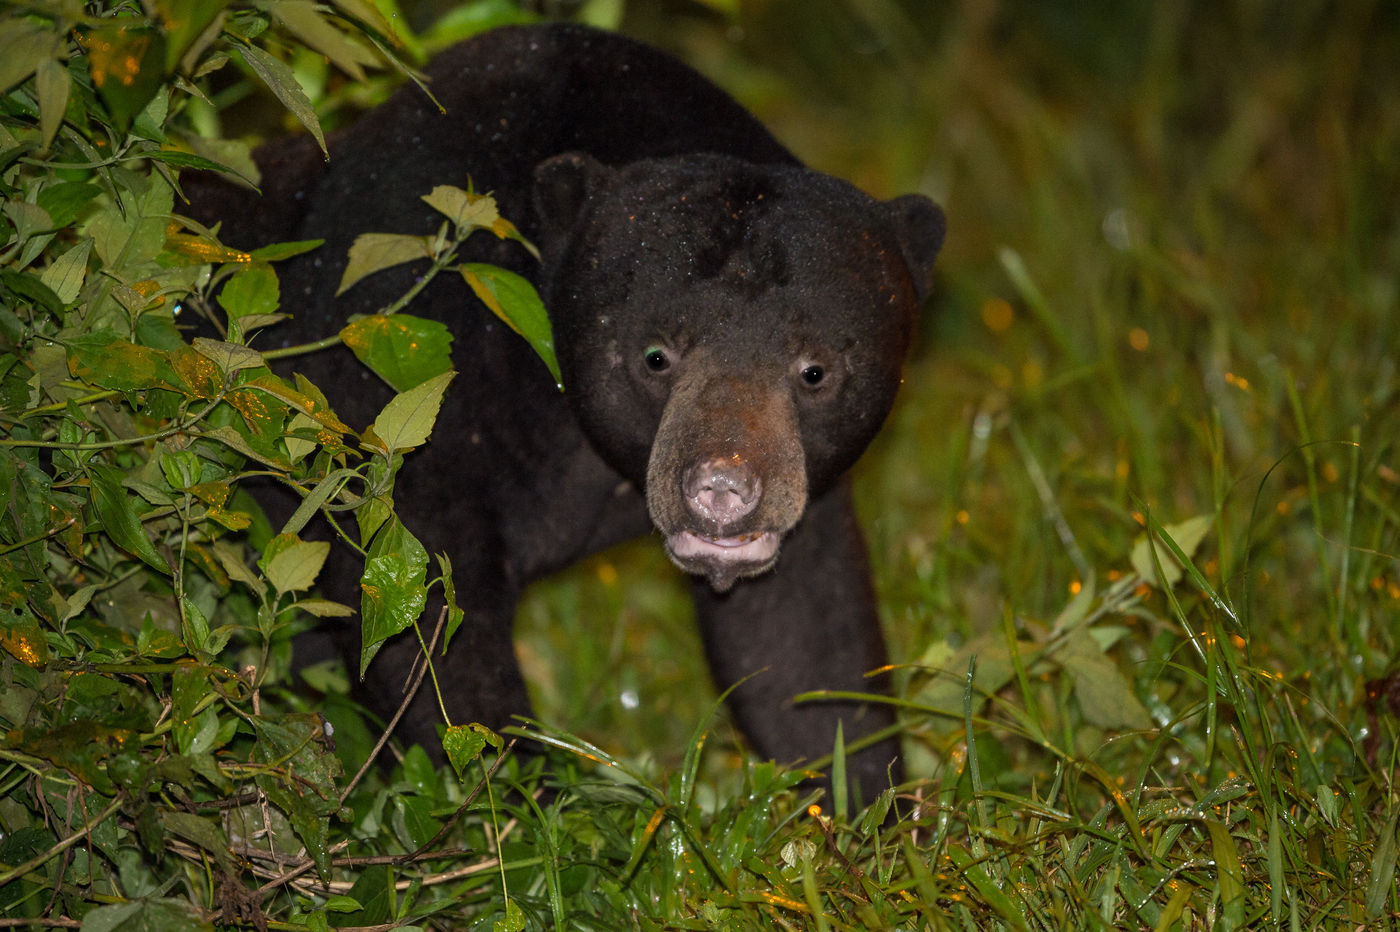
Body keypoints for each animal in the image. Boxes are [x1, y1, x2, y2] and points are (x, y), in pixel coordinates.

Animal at [186, 23, 946, 806]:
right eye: (654, 356)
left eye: (815, 370)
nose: (724, 487)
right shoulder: (398, 380)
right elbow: (421, 606)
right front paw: (525, 802)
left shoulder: (807, 497)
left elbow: (804, 642)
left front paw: (874, 803)